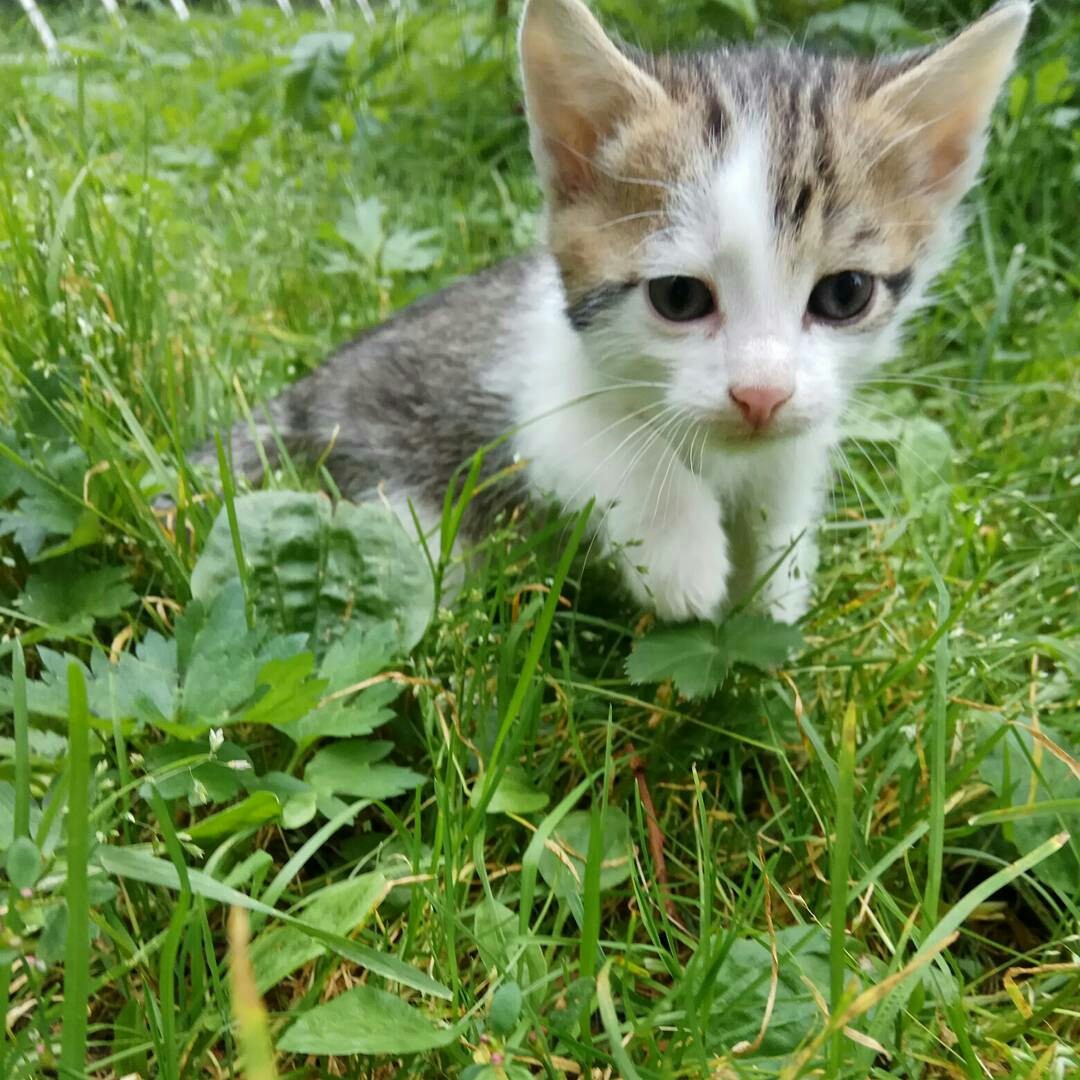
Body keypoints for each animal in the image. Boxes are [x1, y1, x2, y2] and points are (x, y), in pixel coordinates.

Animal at [187, 0, 1028, 622]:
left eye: (845, 294)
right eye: (679, 297)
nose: (760, 395)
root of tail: (305, 396)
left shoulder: (806, 420)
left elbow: (785, 486)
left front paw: (775, 587)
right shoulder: (540, 389)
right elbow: (605, 445)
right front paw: (684, 558)